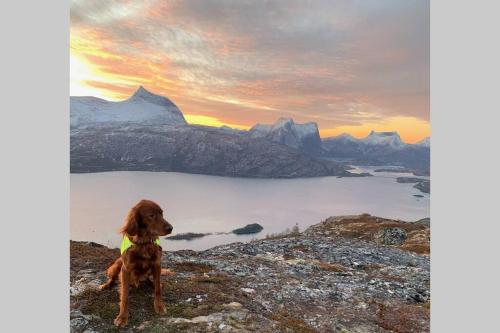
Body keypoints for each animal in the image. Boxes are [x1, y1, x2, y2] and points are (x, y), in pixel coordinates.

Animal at [99, 198, 174, 326]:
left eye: (162, 213)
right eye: (151, 215)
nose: (171, 228)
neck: (143, 242)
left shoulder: (157, 264)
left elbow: (157, 290)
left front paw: (159, 306)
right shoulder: (126, 269)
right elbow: (124, 296)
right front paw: (122, 317)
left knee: (152, 280)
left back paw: (152, 283)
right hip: (116, 266)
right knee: (112, 279)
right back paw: (105, 285)